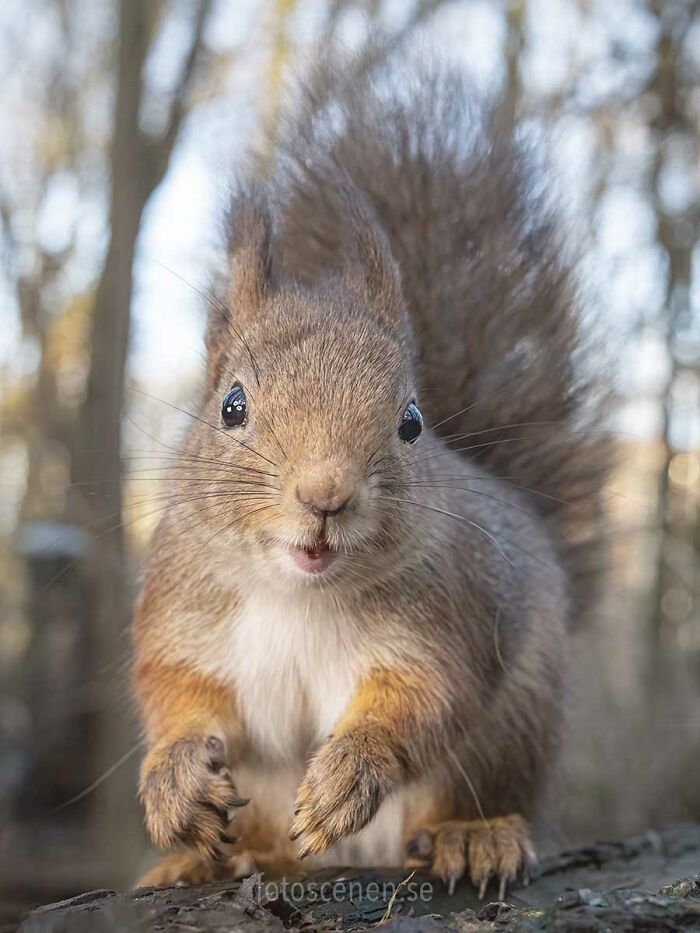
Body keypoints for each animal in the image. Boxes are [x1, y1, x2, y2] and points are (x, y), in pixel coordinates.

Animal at [132, 51, 608, 897]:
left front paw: (351, 772)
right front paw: (176, 778)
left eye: (411, 420)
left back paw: (473, 835)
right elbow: (176, 694)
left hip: (515, 726)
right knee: (269, 841)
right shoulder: (182, 616)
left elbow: (421, 700)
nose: (324, 494)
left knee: (463, 796)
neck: (298, 594)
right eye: (231, 405)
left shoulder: (444, 619)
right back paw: (212, 857)